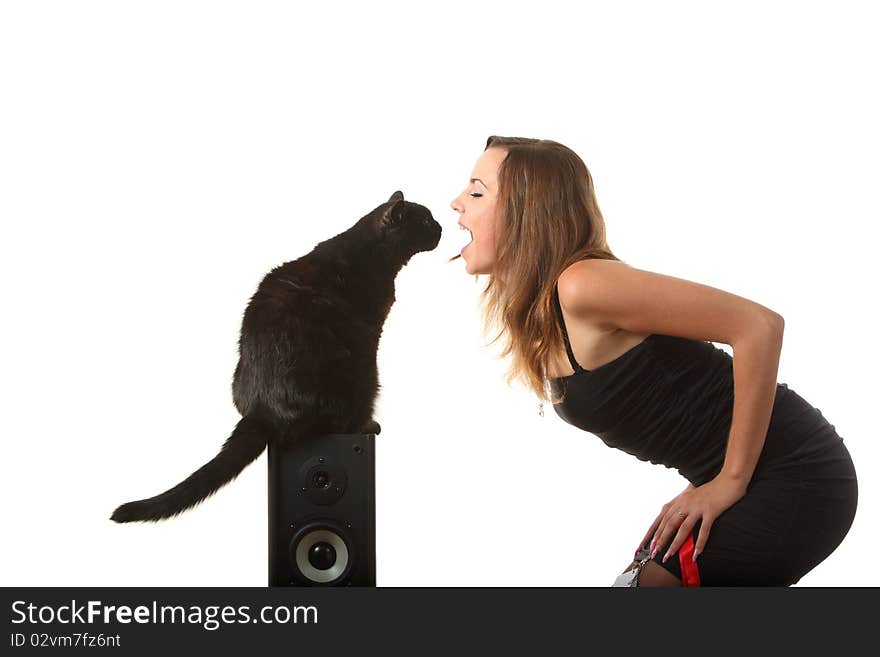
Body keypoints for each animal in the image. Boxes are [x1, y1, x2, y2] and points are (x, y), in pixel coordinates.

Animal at [110, 190, 440, 524]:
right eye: (426, 221)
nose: (440, 229)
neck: (371, 252)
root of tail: (262, 411)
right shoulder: (370, 335)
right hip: (355, 373)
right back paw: (365, 425)